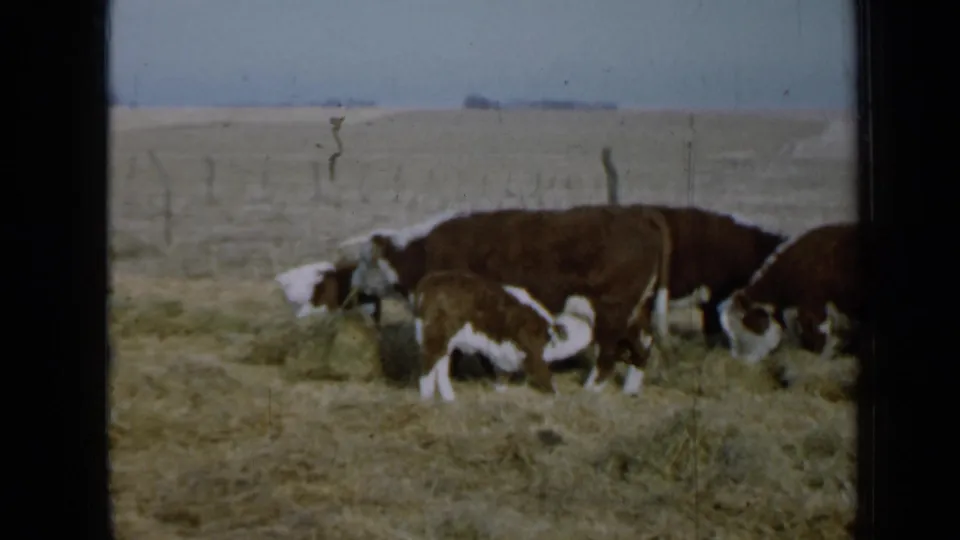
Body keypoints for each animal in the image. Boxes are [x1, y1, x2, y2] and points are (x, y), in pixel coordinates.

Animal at [412, 270, 597, 402]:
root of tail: (428, 282)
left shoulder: (507, 351)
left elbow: (503, 374)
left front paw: (500, 391)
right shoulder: (532, 351)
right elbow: (545, 375)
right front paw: (557, 396)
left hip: (444, 340)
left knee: (441, 364)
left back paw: (449, 399)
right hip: (437, 333)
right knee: (429, 364)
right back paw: (427, 399)